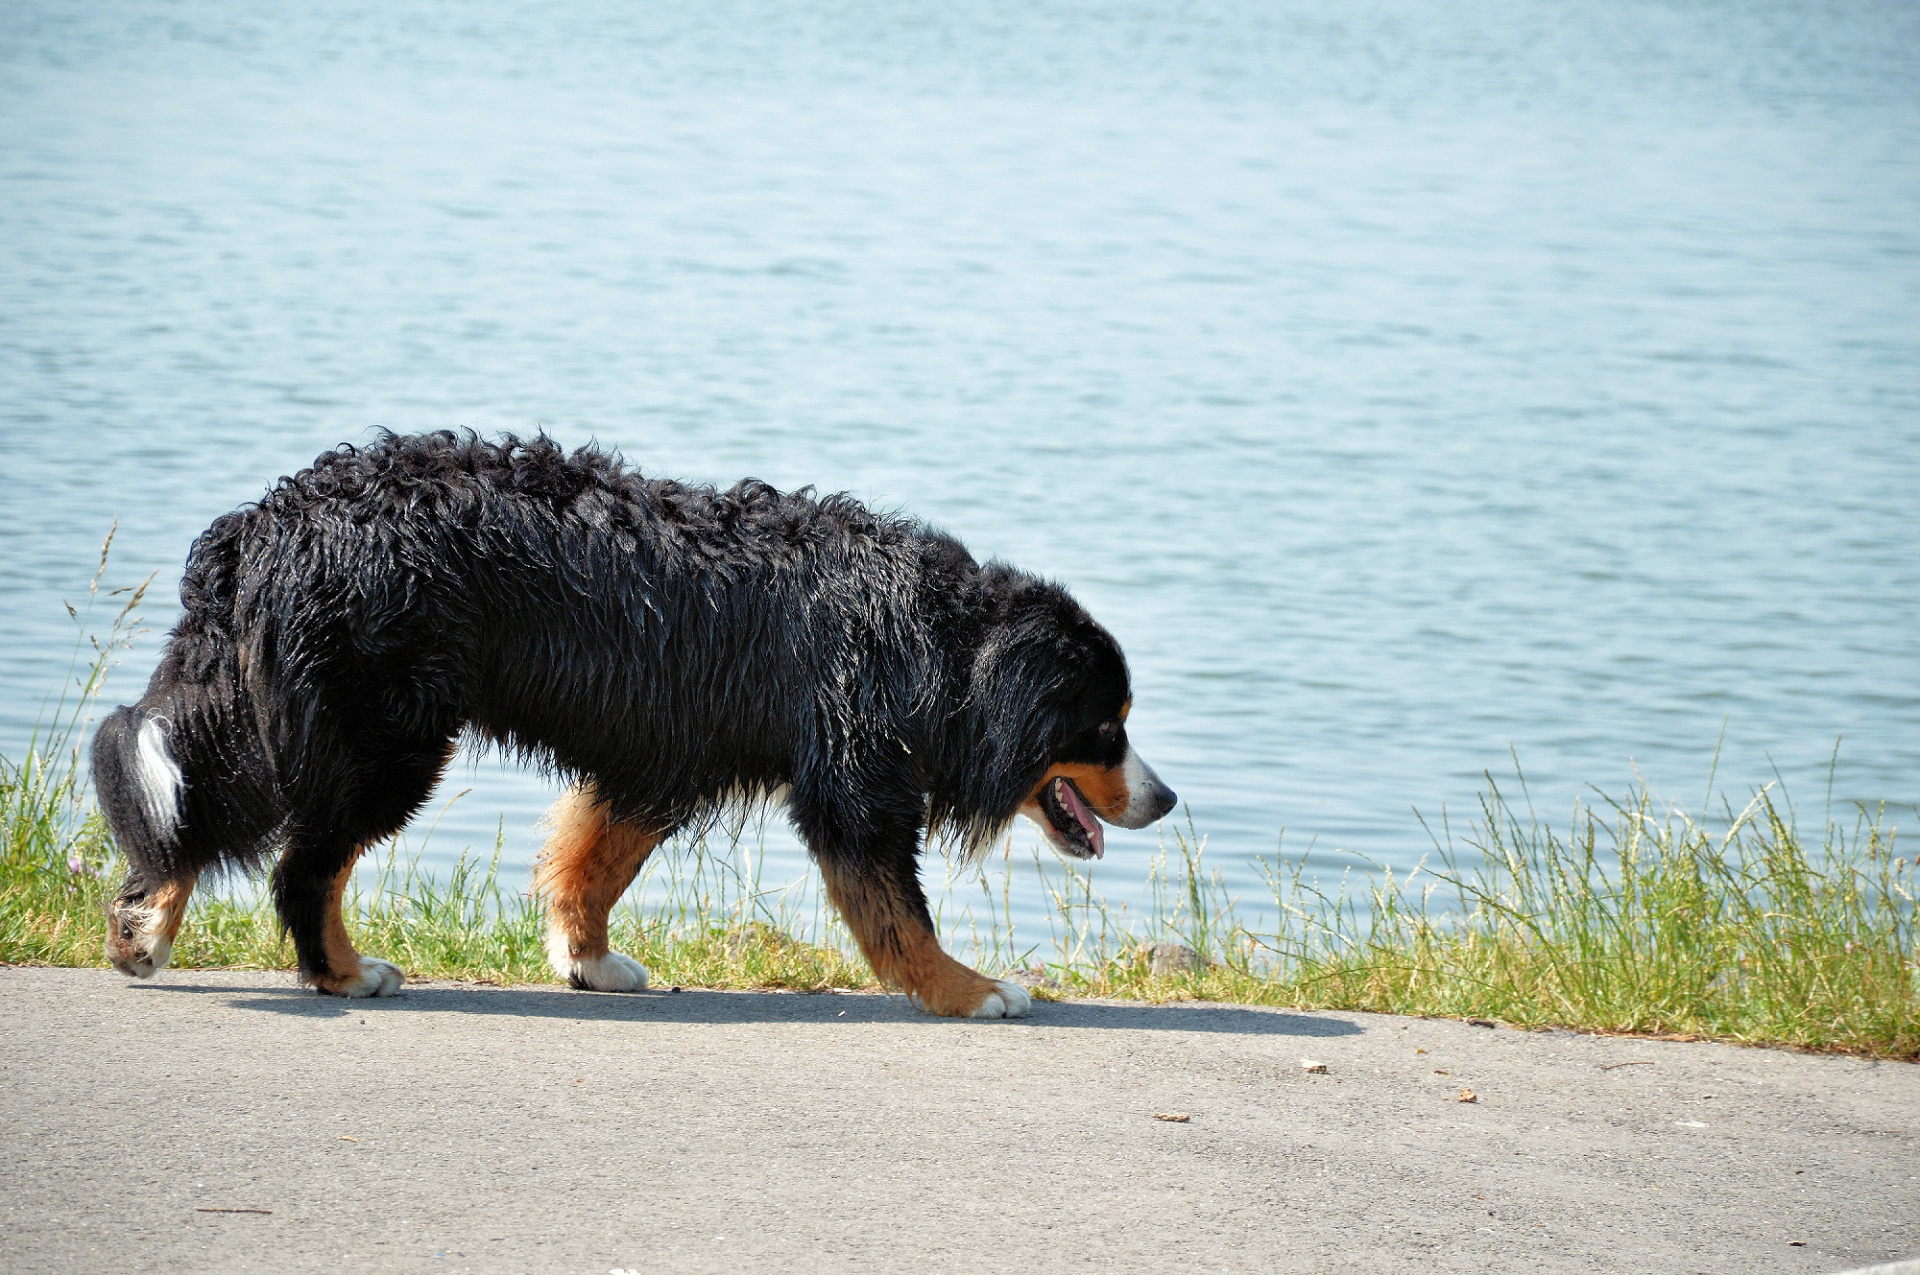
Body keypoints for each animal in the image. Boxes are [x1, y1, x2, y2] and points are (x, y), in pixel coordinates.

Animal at [90, 433, 1175, 1021]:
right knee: (300, 863)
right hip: (378, 736)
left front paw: (587, 960)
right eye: (1107, 728)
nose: (1165, 799)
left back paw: (144, 926)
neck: (930, 638)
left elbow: (593, 859)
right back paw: (343, 973)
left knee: (193, 802)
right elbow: (899, 913)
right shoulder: (851, 781)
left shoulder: (665, 750)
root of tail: (267, 520)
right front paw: (971, 989)